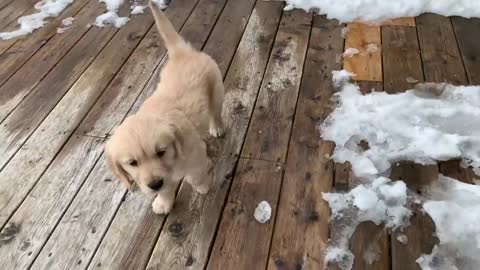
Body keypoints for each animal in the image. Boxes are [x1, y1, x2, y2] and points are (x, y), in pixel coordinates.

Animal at [104, 0, 224, 215]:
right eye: (132, 163)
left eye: (161, 152)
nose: (154, 184)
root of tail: (181, 53)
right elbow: (166, 189)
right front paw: (163, 202)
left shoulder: (195, 156)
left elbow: (196, 175)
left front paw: (203, 187)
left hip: (216, 88)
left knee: (215, 111)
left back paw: (216, 127)